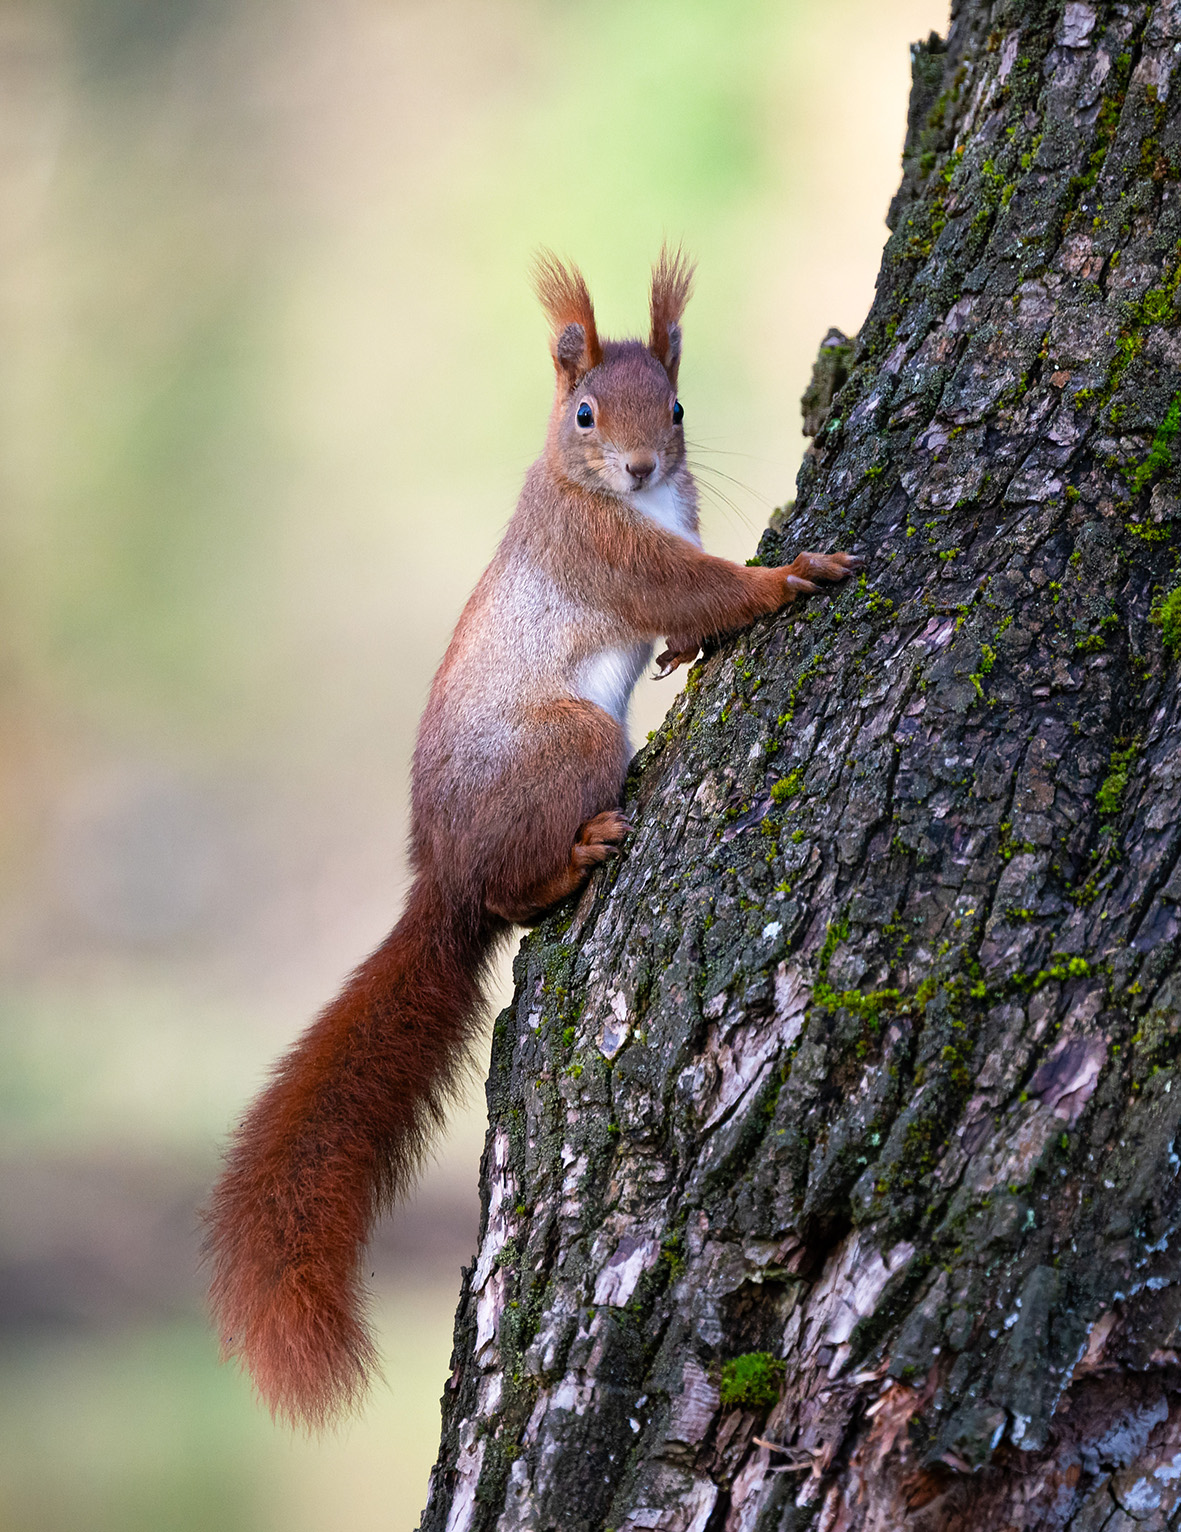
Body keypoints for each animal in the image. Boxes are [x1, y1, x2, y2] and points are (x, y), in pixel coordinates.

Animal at [205, 248, 863, 1429]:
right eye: (586, 411)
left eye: (677, 405)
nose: (642, 462)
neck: (617, 494)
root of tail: (444, 878)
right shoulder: (606, 552)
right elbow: (692, 589)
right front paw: (786, 578)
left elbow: (688, 615)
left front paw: (695, 643)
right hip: (574, 743)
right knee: (516, 895)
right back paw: (571, 860)